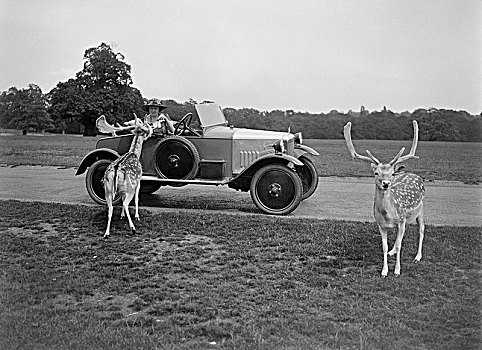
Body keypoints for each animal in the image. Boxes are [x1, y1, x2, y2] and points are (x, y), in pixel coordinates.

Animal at [342, 121, 426, 278]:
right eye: (376, 173)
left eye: (392, 173)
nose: (386, 183)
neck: (387, 215)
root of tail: (415, 175)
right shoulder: (381, 224)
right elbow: (385, 246)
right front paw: (384, 271)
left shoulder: (401, 220)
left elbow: (399, 245)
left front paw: (397, 271)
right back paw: (393, 253)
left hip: (421, 209)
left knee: (421, 229)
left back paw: (417, 257)